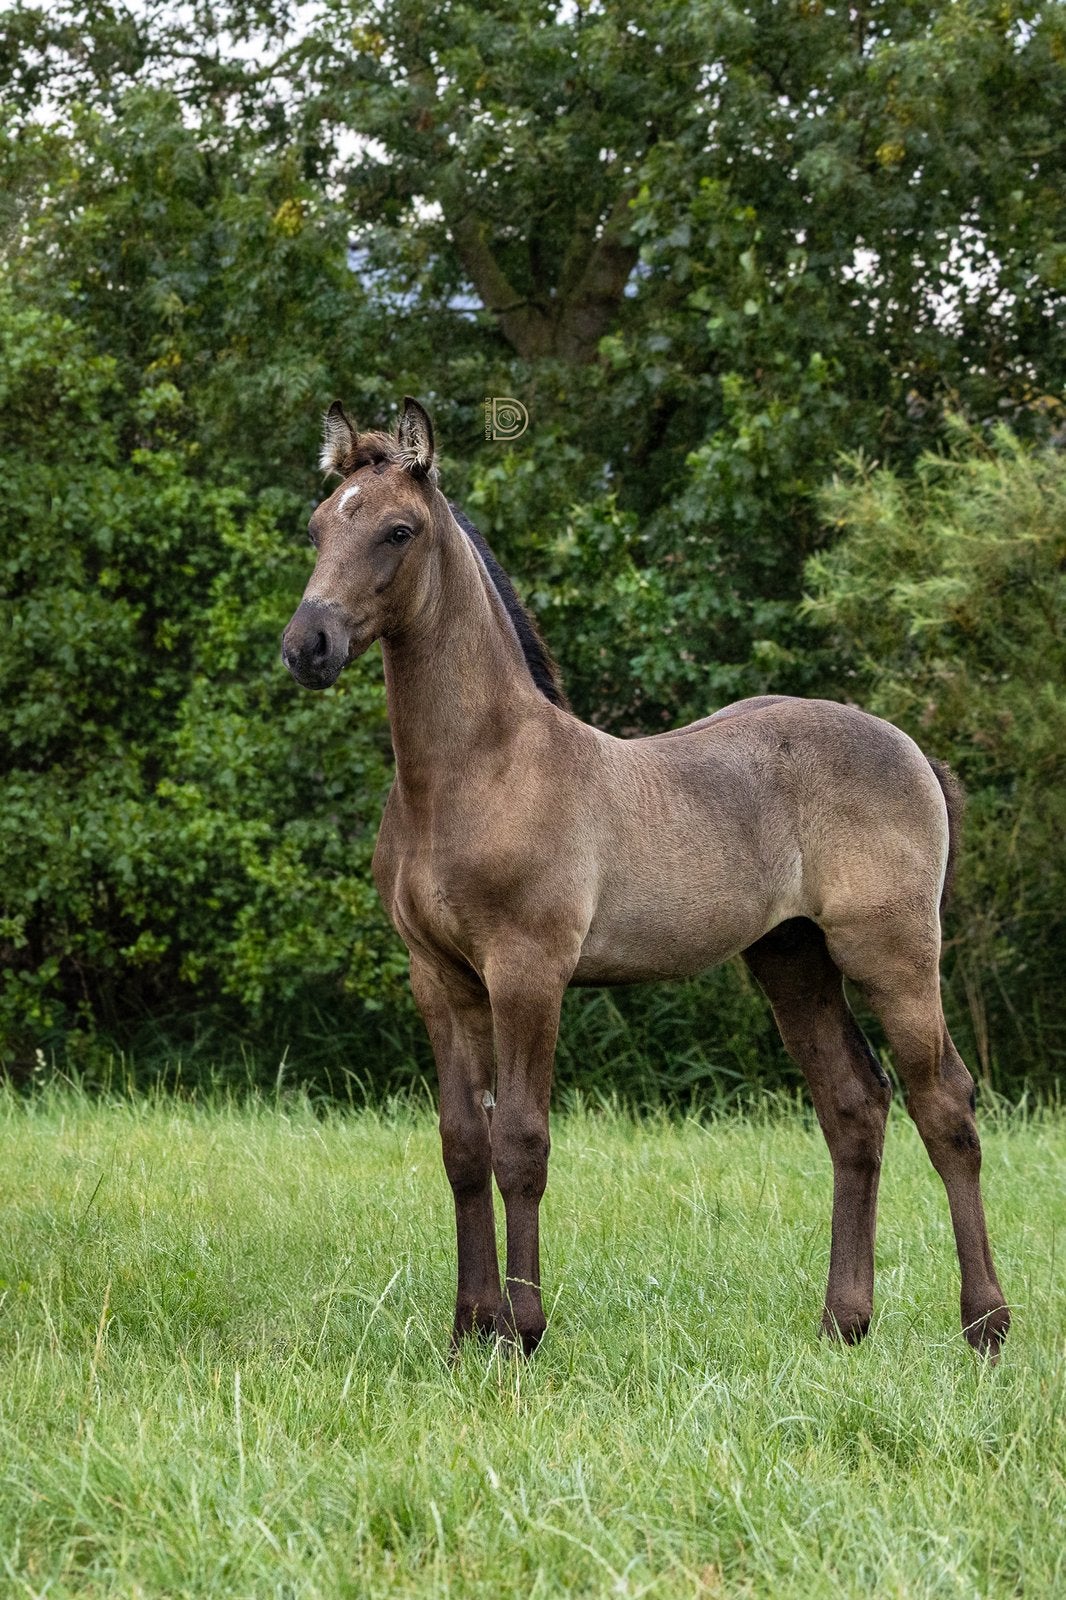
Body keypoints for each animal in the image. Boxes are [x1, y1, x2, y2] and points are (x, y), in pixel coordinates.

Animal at [281, 396, 1010, 1359]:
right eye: (319, 524)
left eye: (398, 530)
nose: (307, 646)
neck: (475, 771)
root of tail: (911, 748)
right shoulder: (438, 978)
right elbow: (462, 1147)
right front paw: (469, 1331)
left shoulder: (529, 973)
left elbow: (520, 1143)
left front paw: (524, 1332)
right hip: (792, 959)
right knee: (855, 1106)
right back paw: (843, 1324)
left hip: (891, 953)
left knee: (945, 1107)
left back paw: (987, 1325)